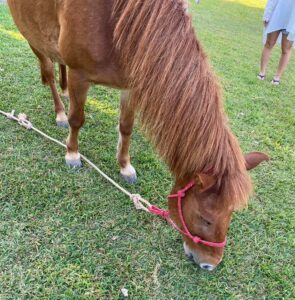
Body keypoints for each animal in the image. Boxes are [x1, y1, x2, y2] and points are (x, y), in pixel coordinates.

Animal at [6, 0, 270, 270]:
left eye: (230, 215)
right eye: (205, 218)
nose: (210, 264)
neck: (115, 22)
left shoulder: (131, 85)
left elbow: (126, 127)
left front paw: (125, 166)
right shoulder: (80, 75)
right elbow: (77, 120)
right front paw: (72, 153)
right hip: (34, 40)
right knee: (49, 73)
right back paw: (60, 112)